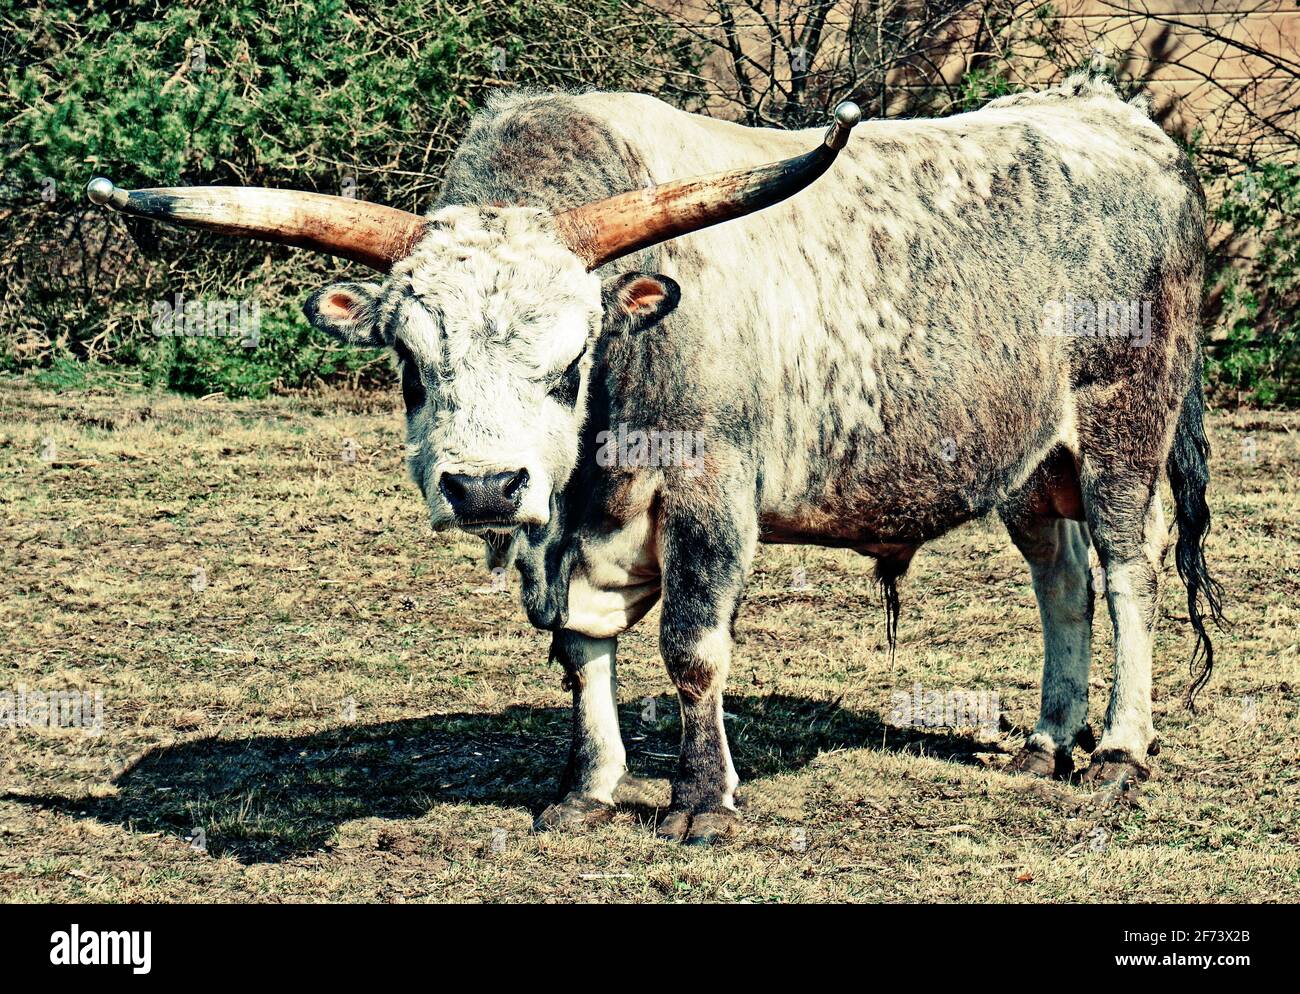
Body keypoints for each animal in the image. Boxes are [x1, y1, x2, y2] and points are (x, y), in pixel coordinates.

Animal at [89, 71, 1216, 847]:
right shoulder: (563, 533)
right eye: (410, 361)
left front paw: (701, 800)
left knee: (1127, 569)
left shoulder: (712, 497)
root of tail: (1119, 121)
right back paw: (1047, 741)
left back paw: (1119, 749)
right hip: (1028, 462)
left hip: (1123, 426)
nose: (484, 485)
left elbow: (691, 646)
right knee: (1060, 579)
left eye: (568, 359)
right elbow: (581, 643)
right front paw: (586, 789)